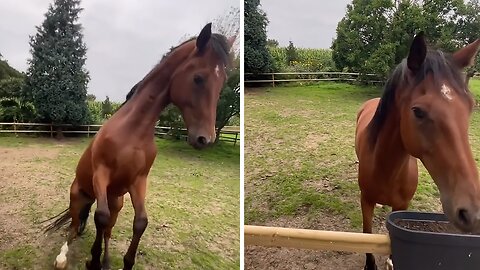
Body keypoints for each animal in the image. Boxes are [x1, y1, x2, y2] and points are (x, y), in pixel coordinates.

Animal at [44, 23, 235, 270]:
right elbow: (100, 217)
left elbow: (140, 222)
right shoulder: (101, 174)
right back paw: (63, 257)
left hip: (117, 201)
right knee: (74, 227)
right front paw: (92, 261)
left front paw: (121, 262)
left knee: (106, 230)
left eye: (222, 83)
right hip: (78, 197)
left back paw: (106, 260)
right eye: (198, 78)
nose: (205, 139)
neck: (133, 132)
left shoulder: (138, 181)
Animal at [354, 32, 480, 270]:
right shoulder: (366, 201)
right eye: (418, 111)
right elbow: (367, 236)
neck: (387, 170)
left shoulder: (401, 206)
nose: (473, 213)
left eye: (470, 106)